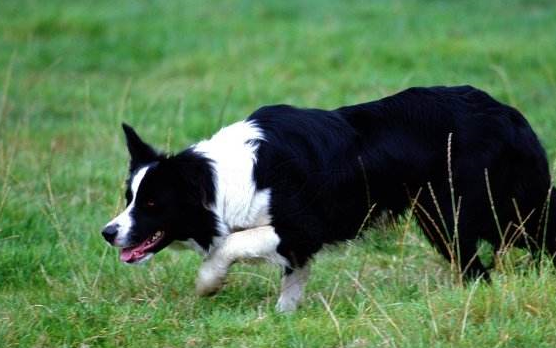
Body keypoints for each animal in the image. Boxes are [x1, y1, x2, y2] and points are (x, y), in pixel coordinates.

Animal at [101, 85, 556, 312]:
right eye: (129, 197)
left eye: (152, 204)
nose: (107, 232)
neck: (221, 179)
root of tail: (510, 115)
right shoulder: (296, 242)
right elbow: (293, 278)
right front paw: (284, 317)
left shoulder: (303, 224)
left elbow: (230, 244)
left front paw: (208, 282)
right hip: (446, 217)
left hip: (466, 212)